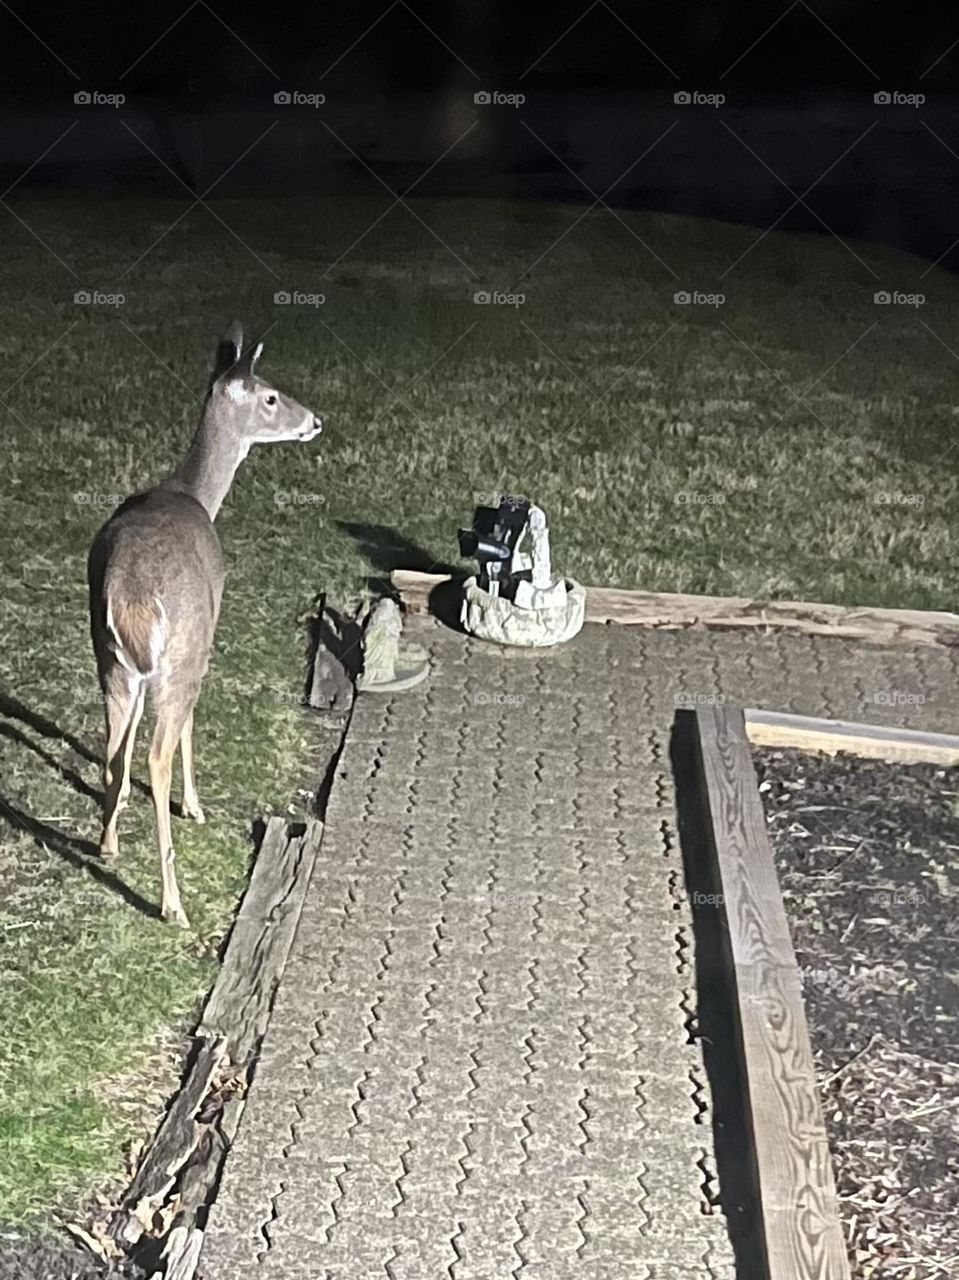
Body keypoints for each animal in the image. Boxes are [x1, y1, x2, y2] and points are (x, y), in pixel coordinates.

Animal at [87, 322, 323, 928]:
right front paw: (194, 805)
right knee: (157, 752)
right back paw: (172, 902)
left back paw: (107, 843)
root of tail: (131, 593)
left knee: (113, 744)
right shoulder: (207, 633)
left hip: (110, 658)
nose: (315, 421)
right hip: (180, 654)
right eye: (270, 396)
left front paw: (116, 816)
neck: (194, 494)